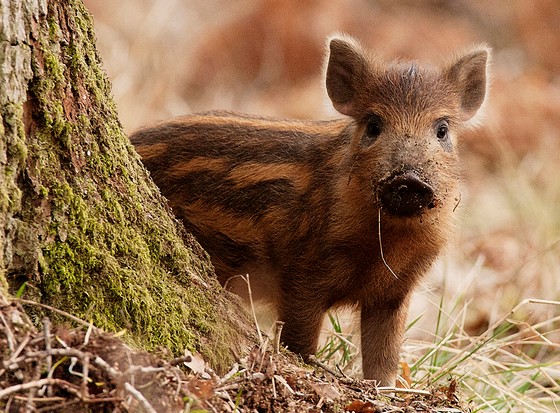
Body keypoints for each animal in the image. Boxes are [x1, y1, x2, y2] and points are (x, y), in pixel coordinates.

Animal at [131, 33, 490, 384]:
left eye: (442, 129)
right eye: (373, 125)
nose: (409, 179)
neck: (386, 242)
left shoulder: (395, 291)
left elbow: (383, 358)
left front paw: (388, 390)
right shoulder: (301, 274)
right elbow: (300, 342)